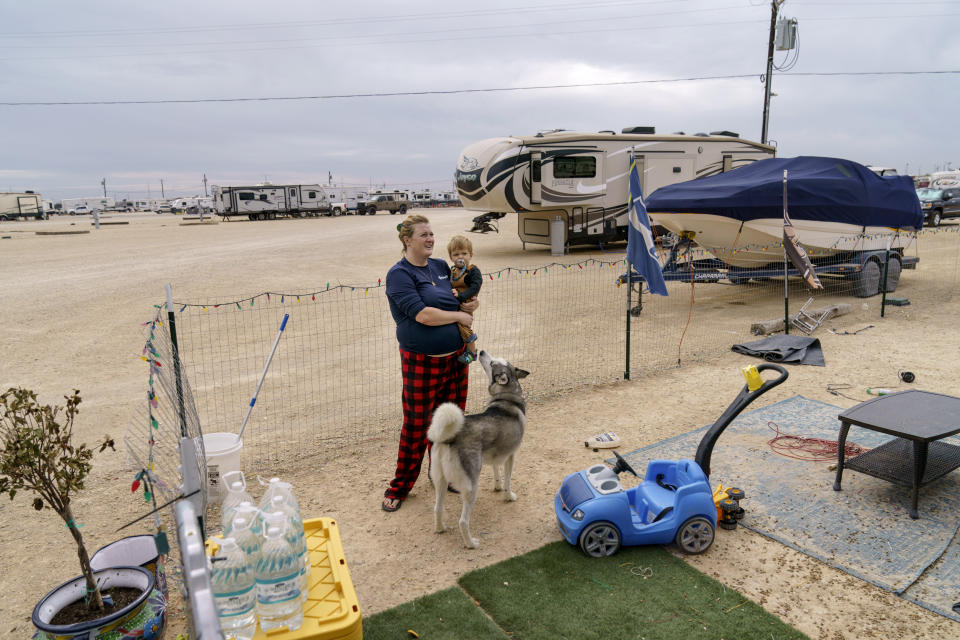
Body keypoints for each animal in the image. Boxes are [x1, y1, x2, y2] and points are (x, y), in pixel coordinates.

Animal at [430, 352, 532, 548]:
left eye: (493, 362)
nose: (481, 351)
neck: (506, 396)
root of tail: (449, 437)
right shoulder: (511, 456)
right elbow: (508, 480)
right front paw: (509, 496)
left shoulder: (496, 455)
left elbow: (496, 472)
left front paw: (497, 487)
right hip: (471, 487)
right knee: (463, 522)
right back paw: (471, 543)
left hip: (440, 481)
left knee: (437, 508)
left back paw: (440, 529)